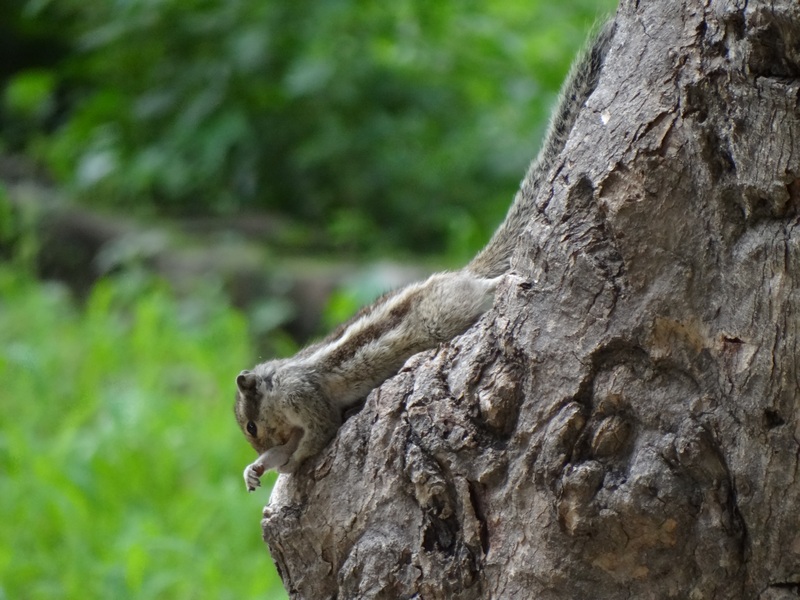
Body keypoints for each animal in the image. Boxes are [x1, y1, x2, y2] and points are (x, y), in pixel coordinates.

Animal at [234, 22, 616, 492]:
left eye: (251, 426)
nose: (257, 446)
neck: (279, 377)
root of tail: (454, 276)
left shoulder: (304, 397)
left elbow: (316, 435)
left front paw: (288, 463)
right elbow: (291, 444)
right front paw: (259, 467)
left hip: (448, 311)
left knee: (483, 291)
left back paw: (503, 282)